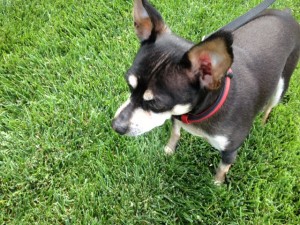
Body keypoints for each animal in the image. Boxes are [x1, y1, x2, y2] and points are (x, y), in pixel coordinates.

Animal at [112, 0, 300, 184]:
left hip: (281, 85)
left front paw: (216, 185)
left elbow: (222, 169)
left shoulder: (230, 150)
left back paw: (262, 122)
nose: (116, 126)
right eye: (129, 85)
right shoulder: (176, 117)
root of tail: (286, 14)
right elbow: (175, 133)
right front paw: (169, 150)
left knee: (269, 106)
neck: (196, 114)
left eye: (157, 104)